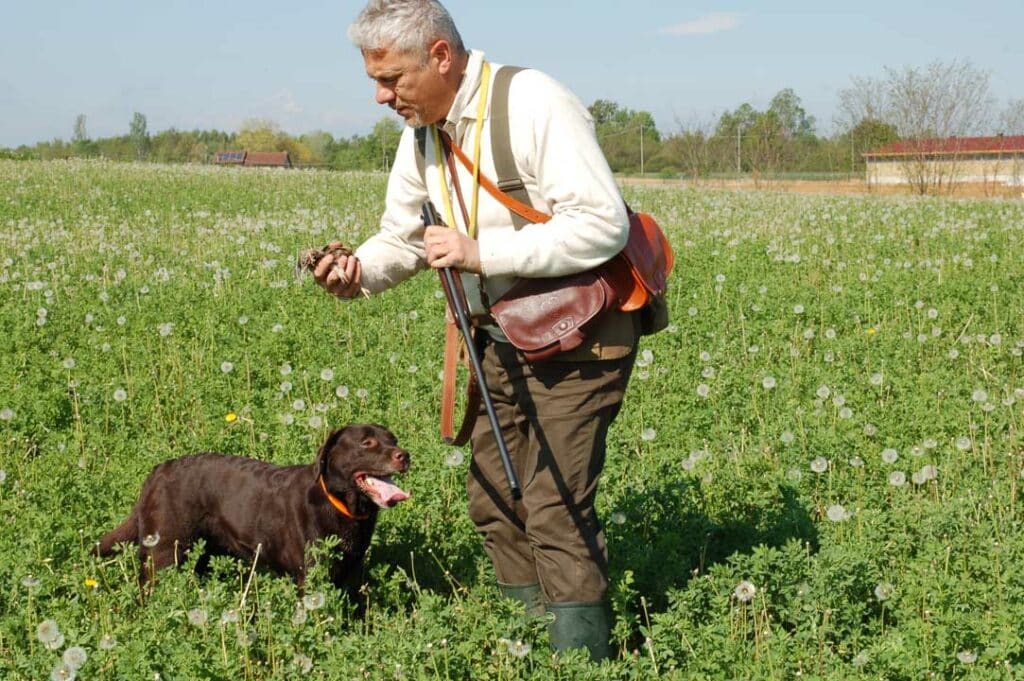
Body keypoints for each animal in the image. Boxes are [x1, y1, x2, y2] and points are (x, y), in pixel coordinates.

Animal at [96, 426, 407, 589]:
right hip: (164, 554)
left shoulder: (352, 572)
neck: (341, 505)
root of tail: (156, 472)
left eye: (394, 440)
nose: (405, 455)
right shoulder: (311, 577)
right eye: (367, 442)